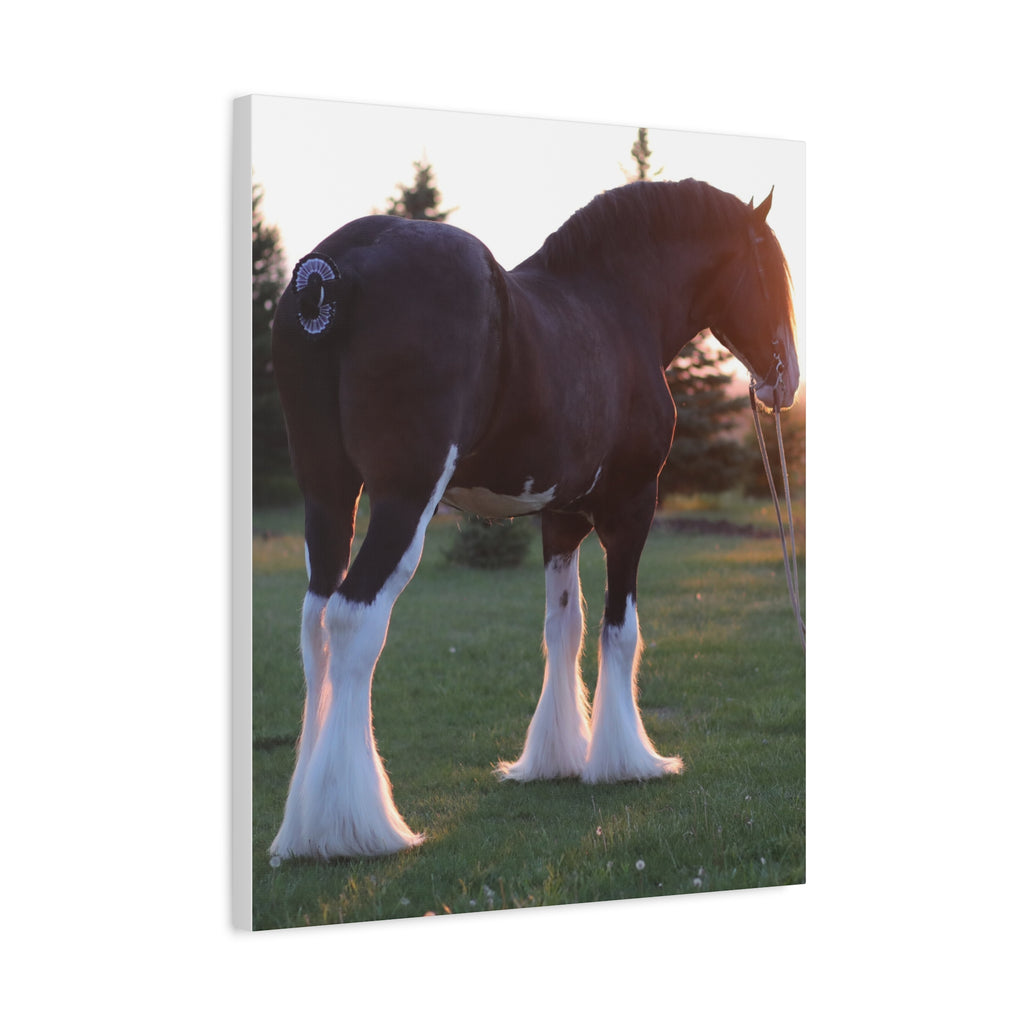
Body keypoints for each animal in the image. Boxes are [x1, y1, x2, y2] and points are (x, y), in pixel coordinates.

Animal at [267, 177, 799, 860]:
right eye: (773, 269)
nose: (786, 381)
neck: (614, 305)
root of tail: (331, 270)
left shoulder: (561, 518)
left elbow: (563, 629)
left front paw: (556, 757)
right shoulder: (632, 507)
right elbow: (620, 630)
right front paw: (626, 761)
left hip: (329, 493)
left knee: (314, 624)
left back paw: (301, 828)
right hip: (403, 498)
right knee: (354, 619)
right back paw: (355, 828)